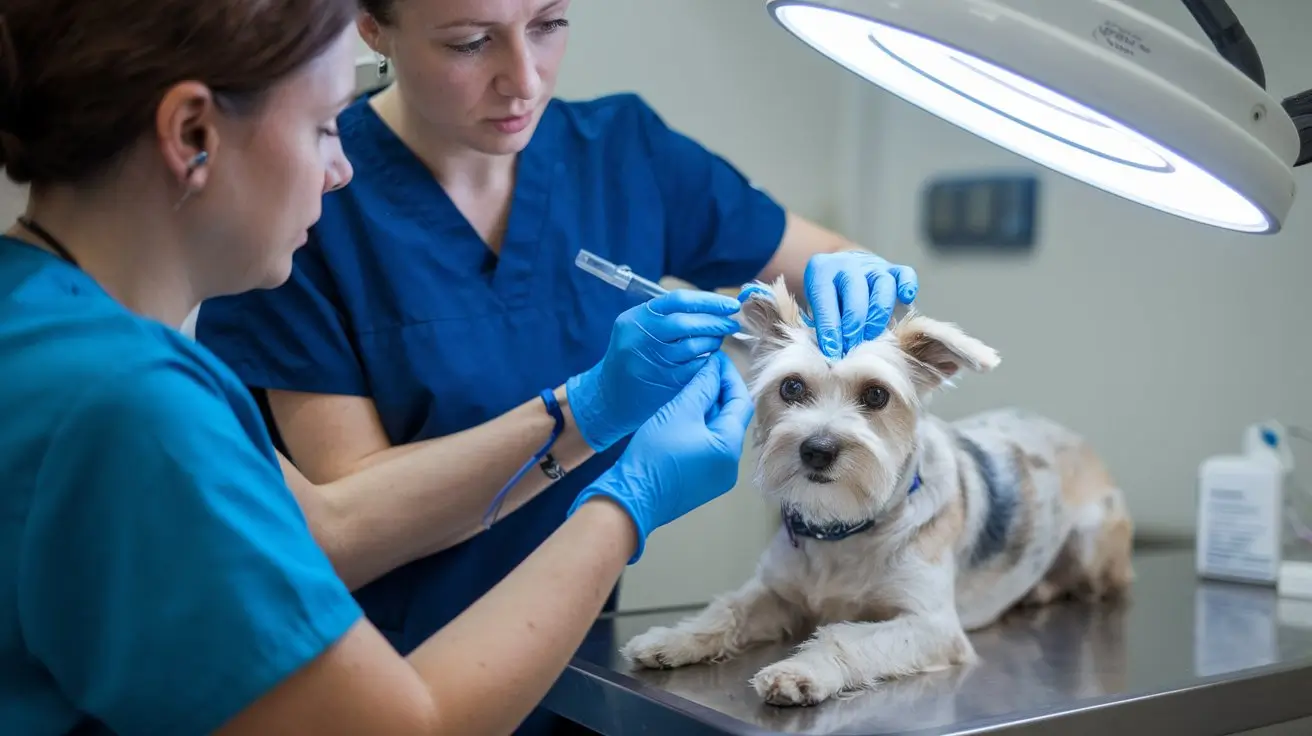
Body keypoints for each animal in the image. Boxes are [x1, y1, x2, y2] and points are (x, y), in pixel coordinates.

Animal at [619, 276, 1133, 708]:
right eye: (791, 387)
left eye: (876, 395)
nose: (817, 449)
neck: (843, 528)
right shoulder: (776, 592)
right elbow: (727, 611)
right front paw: (671, 640)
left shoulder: (931, 627)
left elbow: (849, 637)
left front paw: (801, 671)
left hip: (1091, 540)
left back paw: (1043, 590)